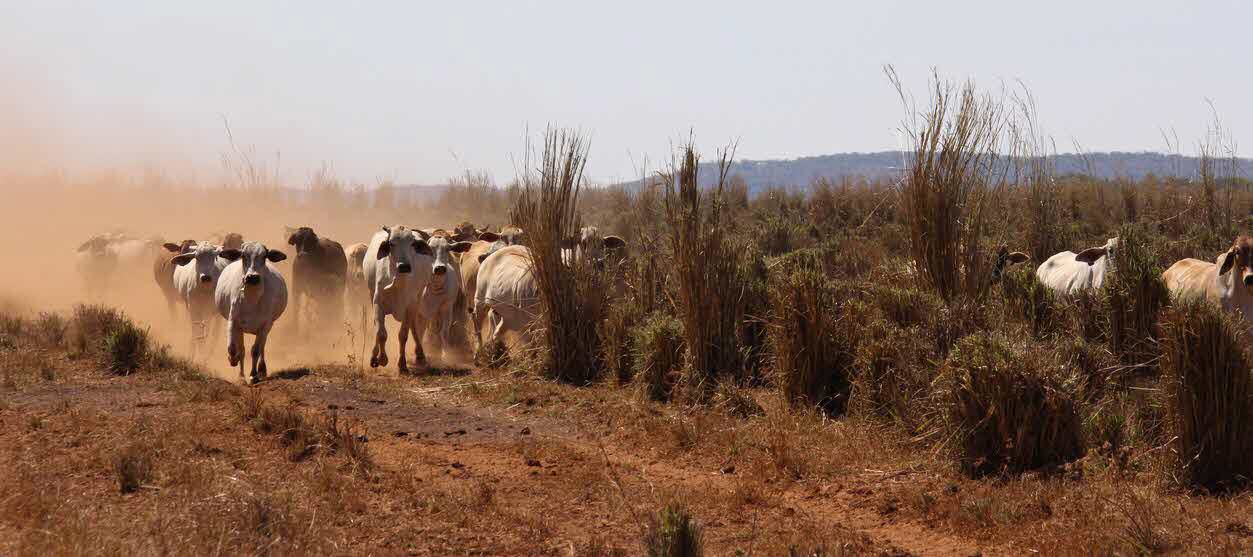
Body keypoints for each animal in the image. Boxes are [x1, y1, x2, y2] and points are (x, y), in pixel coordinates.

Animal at [219, 241, 291, 383]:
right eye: (243, 256)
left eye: (264, 257)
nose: (252, 277)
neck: (252, 298)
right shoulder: (233, 321)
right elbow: (233, 347)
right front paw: (233, 360)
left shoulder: (265, 325)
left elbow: (256, 350)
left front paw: (253, 375)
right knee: (242, 348)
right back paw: (241, 375)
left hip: (267, 327)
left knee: (261, 347)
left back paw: (262, 370)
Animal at [363, 224, 436, 370]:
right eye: (391, 243)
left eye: (412, 243)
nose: (404, 266)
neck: (398, 283)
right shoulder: (377, 302)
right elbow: (381, 333)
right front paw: (381, 359)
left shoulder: (410, 306)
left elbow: (403, 335)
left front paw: (402, 365)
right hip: (371, 293)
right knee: (376, 326)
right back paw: (374, 356)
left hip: (418, 298)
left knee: (413, 325)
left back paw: (420, 355)